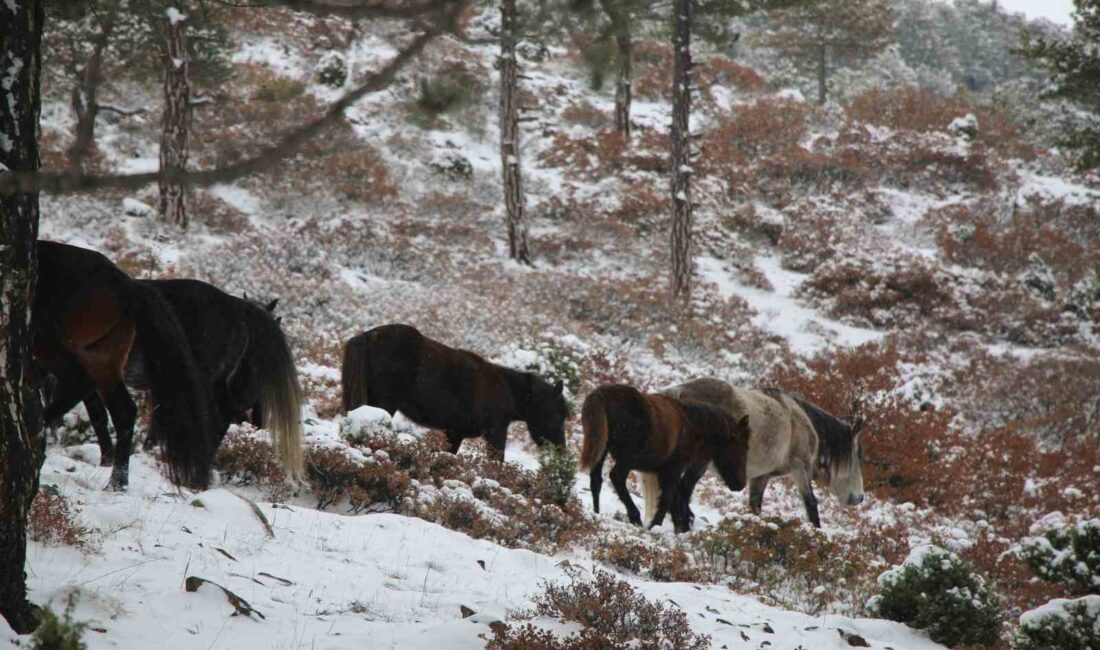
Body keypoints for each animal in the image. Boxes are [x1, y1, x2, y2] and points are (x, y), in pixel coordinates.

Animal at [34, 241, 218, 490]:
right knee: (123, 410)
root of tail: (127, 285)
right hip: (103, 358)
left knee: (81, 382)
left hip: (51, 341)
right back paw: (117, 482)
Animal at [341, 323, 567, 457]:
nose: (561, 450)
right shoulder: (496, 432)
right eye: (557, 414)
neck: (506, 390)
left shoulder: (455, 433)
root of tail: (368, 335)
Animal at [580, 384, 752, 532]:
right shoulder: (673, 470)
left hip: (603, 449)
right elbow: (667, 498)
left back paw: (596, 513)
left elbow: (672, 499)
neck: (692, 425)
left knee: (596, 480)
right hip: (627, 458)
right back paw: (635, 517)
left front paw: (680, 525)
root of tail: (602, 394)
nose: (740, 484)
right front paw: (656, 525)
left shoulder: (663, 472)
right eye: (742, 447)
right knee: (616, 477)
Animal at [655, 376, 862, 527]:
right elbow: (811, 504)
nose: (859, 498)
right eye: (858, 457)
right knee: (682, 491)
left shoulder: (762, 475)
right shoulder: (800, 468)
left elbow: (755, 505)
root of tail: (678, 393)